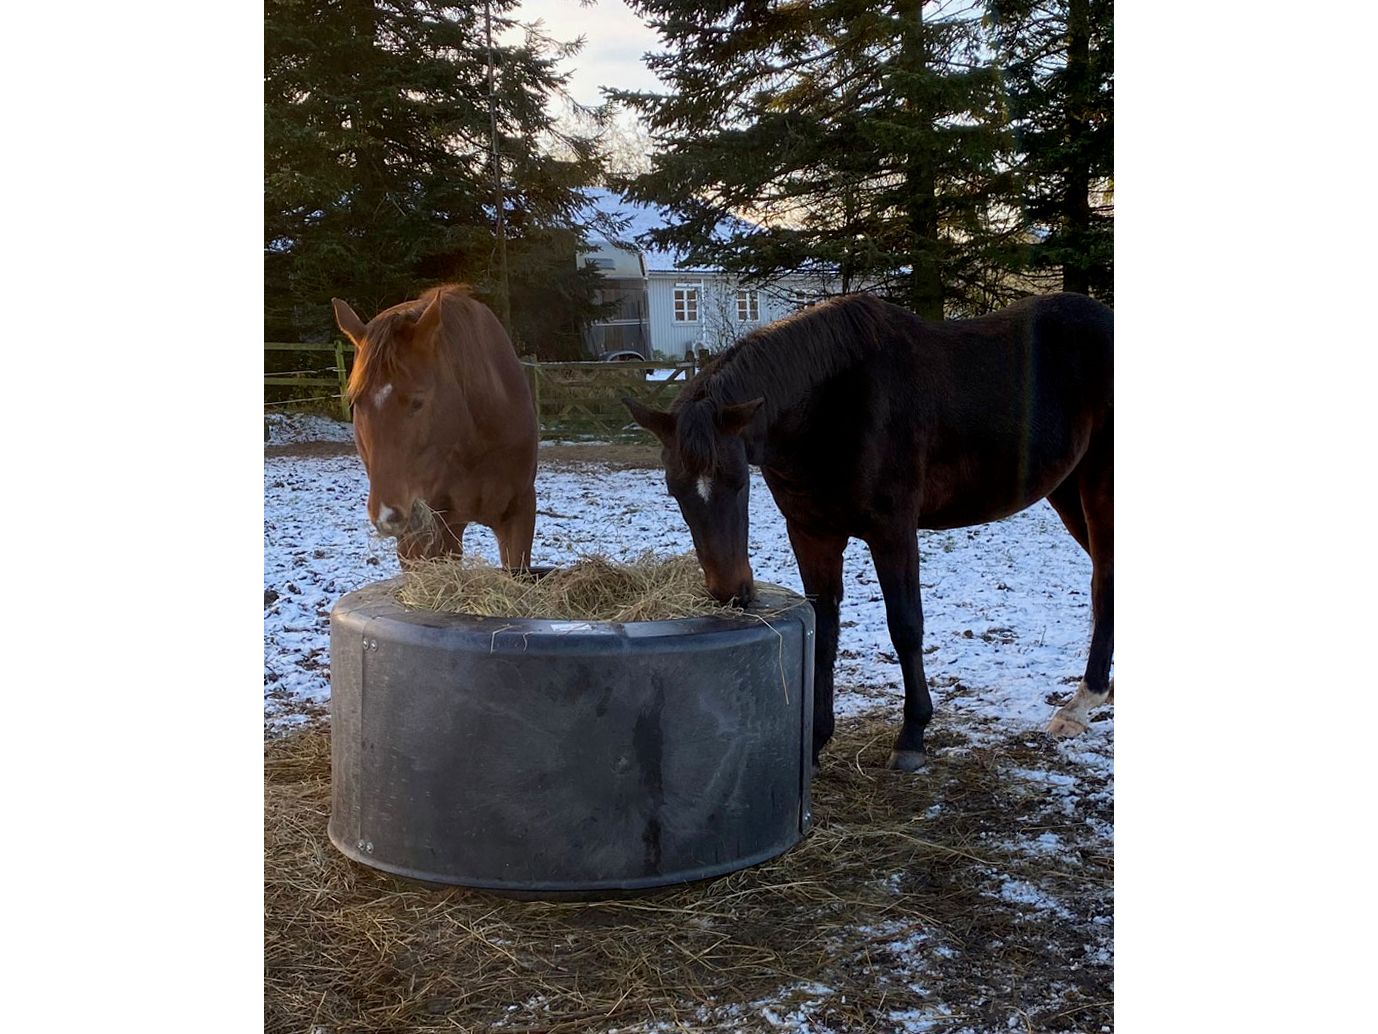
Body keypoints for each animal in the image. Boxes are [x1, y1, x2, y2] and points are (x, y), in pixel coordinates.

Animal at [624, 291, 1113, 772]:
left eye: (739, 480)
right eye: (674, 489)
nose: (730, 591)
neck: (830, 406)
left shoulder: (892, 531)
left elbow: (906, 626)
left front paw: (912, 736)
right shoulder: (811, 534)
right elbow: (823, 631)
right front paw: (816, 742)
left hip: (1098, 491)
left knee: (1104, 583)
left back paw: (1080, 704)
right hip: (1067, 491)